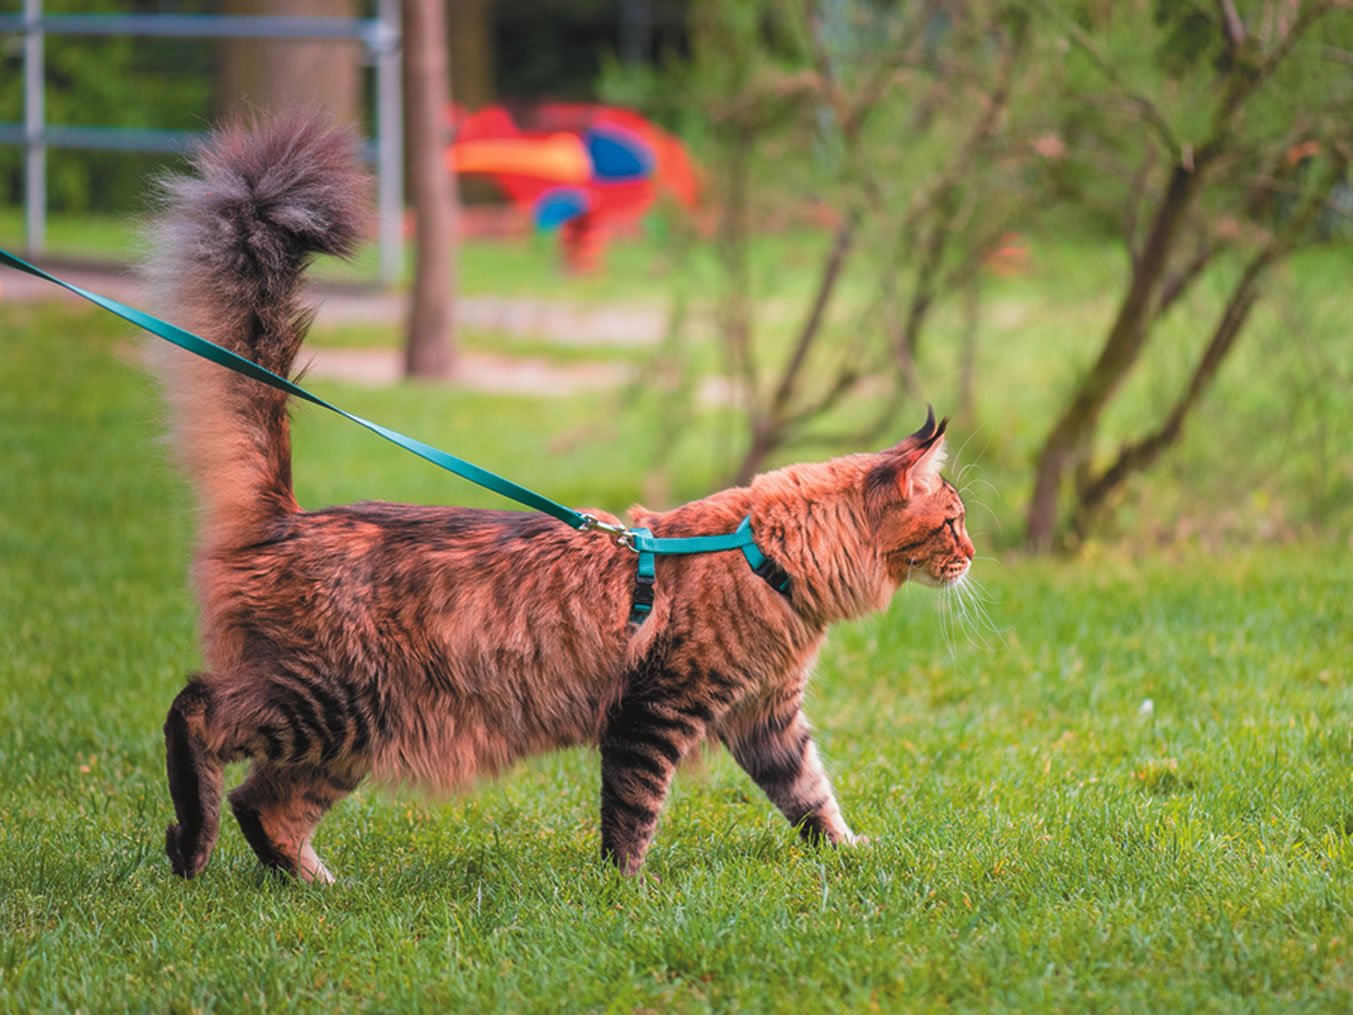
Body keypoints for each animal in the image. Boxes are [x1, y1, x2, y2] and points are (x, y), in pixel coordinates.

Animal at [148, 115, 974, 887]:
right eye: (953, 521)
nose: (970, 555)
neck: (761, 551)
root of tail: (285, 518)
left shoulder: (765, 714)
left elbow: (809, 794)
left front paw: (850, 851)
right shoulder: (656, 708)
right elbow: (634, 809)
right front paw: (627, 891)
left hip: (348, 736)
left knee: (266, 803)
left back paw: (315, 883)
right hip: (331, 700)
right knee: (195, 712)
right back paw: (191, 842)